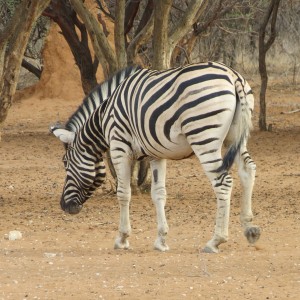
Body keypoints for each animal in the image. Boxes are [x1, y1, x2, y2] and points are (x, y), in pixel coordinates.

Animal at [51, 61, 260, 253]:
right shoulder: (155, 155)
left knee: (223, 182)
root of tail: (233, 76)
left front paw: (122, 239)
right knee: (248, 171)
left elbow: (123, 193)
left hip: (204, 137)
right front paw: (161, 240)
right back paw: (250, 229)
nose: (64, 206)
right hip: (235, 137)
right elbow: (159, 194)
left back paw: (216, 240)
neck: (103, 119)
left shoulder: (119, 147)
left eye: (65, 164)